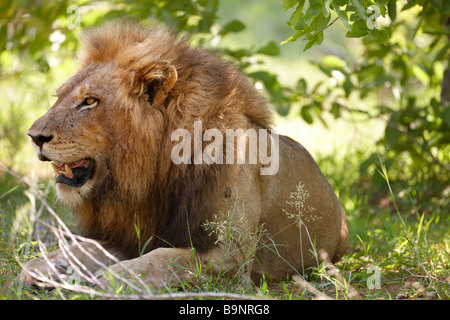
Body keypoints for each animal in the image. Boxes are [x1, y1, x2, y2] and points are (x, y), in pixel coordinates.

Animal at [22, 21, 348, 288]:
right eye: (59, 97)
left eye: (90, 101)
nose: (34, 137)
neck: (154, 173)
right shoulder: (130, 234)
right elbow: (85, 248)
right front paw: (44, 265)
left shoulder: (234, 255)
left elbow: (165, 258)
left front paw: (115, 278)